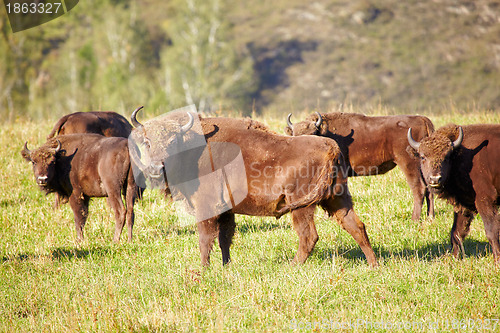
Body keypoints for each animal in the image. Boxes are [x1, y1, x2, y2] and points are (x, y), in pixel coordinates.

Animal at [129, 107, 378, 268]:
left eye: (172, 142)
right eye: (147, 143)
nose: (156, 168)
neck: (193, 147)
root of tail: (331, 147)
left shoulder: (206, 208)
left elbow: (205, 240)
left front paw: (203, 270)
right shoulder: (226, 211)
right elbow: (225, 238)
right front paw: (226, 266)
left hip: (302, 206)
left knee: (309, 236)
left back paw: (292, 266)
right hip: (338, 199)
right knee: (357, 226)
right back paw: (374, 264)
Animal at [288, 111, 436, 220]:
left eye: (313, 133)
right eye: (294, 135)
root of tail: (422, 119)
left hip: (408, 164)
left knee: (419, 188)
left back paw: (415, 218)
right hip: (424, 166)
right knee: (429, 188)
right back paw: (430, 217)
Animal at [408, 124, 498, 262]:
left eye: (447, 157)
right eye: (423, 157)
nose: (435, 179)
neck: (460, 155)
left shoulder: (485, 200)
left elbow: (491, 231)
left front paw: (497, 259)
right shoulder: (464, 203)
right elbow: (456, 232)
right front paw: (455, 258)